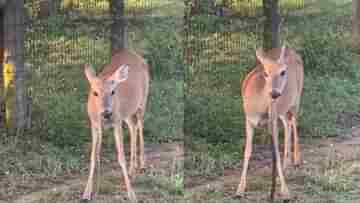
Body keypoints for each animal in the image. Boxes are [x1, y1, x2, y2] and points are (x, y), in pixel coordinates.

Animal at [81, 49, 149, 203]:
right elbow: (94, 156)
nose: (106, 112)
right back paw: (132, 170)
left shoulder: (116, 122)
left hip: (142, 101)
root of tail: (136, 55)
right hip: (127, 113)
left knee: (140, 126)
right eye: (95, 92)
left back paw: (142, 165)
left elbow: (121, 157)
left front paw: (132, 194)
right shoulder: (94, 124)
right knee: (133, 127)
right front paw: (87, 193)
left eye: (113, 91)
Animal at [236, 45, 304, 201]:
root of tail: (292, 51)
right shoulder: (248, 119)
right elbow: (247, 151)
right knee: (287, 123)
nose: (274, 93)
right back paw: (286, 165)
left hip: (297, 97)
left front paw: (285, 192)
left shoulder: (272, 121)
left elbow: (276, 155)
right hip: (283, 109)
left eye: (283, 72)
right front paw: (240, 189)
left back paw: (296, 160)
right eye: (265, 73)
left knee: (294, 121)